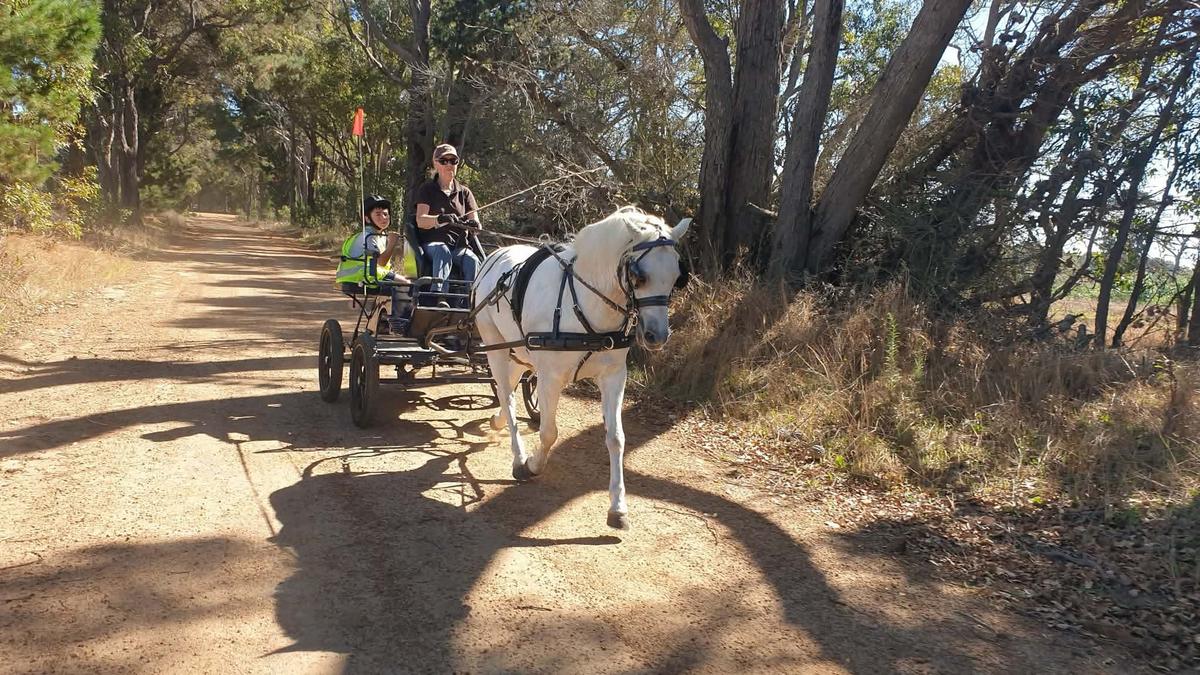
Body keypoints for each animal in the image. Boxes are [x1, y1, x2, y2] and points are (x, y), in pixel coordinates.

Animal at [471, 207, 690, 530]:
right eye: (639, 275)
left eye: (677, 275)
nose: (657, 336)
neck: (584, 304)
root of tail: (495, 254)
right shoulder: (549, 378)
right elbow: (549, 432)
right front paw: (532, 465)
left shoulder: (613, 377)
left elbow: (616, 438)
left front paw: (618, 507)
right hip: (494, 345)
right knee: (508, 397)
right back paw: (517, 454)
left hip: (521, 352)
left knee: (508, 386)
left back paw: (496, 421)